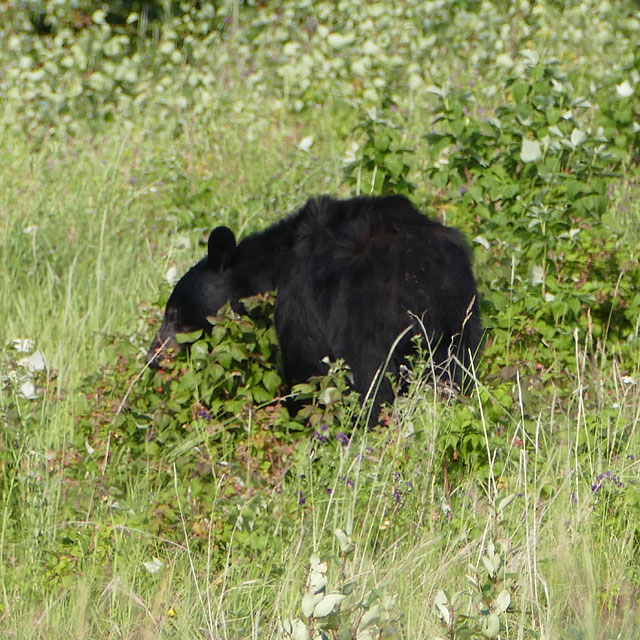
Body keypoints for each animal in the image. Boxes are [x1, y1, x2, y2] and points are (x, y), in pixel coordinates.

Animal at [149, 196, 480, 416]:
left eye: (174, 314)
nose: (153, 357)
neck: (271, 270)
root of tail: (419, 272)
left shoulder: (298, 305)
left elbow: (304, 370)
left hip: (365, 321)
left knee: (371, 382)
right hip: (458, 316)